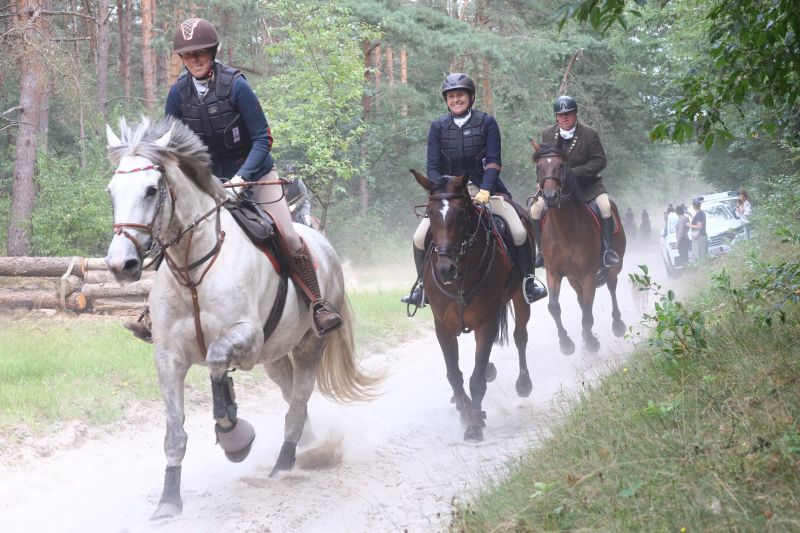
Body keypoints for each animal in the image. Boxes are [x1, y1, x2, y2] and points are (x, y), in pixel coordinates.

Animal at [104, 117, 379, 519]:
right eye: (112, 191)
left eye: (152, 190)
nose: (120, 264)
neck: (194, 268)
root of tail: (324, 245)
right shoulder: (169, 357)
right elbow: (175, 433)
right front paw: (169, 500)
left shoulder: (245, 338)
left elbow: (218, 360)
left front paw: (234, 435)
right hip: (275, 355)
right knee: (290, 393)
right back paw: (307, 444)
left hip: (310, 344)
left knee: (298, 402)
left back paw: (284, 463)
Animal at [410, 170, 533, 442]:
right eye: (430, 213)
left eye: (461, 214)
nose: (445, 269)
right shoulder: (442, 327)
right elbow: (454, 374)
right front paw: (465, 411)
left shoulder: (487, 322)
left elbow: (476, 378)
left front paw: (475, 424)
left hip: (520, 296)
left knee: (520, 336)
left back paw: (523, 384)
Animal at [531, 141, 627, 354]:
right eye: (539, 167)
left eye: (561, 165)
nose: (550, 196)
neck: (564, 231)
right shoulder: (554, 273)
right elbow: (554, 307)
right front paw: (566, 343)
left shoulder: (588, 274)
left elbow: (588, 311)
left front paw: (590, 342)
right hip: (573, 278)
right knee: (580, 298)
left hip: (614, 265)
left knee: (612, 285)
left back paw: (617, 324)